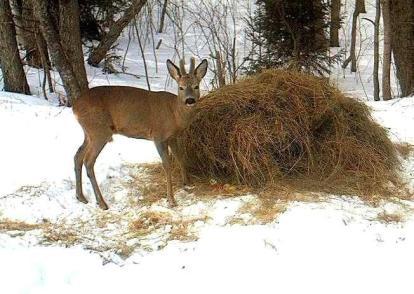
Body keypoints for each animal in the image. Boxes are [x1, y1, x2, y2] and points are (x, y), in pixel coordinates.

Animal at [73, 57, 209, 209]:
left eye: (196, 86)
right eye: (181, 87)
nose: (190, 100)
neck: (175, 114)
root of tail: (74, 107)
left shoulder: (173, 137)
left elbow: (180, 157)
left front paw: (187, 183)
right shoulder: (159, 136)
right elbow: (167, 165)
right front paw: (171, 200)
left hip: (89, 132)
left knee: (77, 156)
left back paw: (81, 197)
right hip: (99, 131)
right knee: (88, 161)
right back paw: (102, 203)